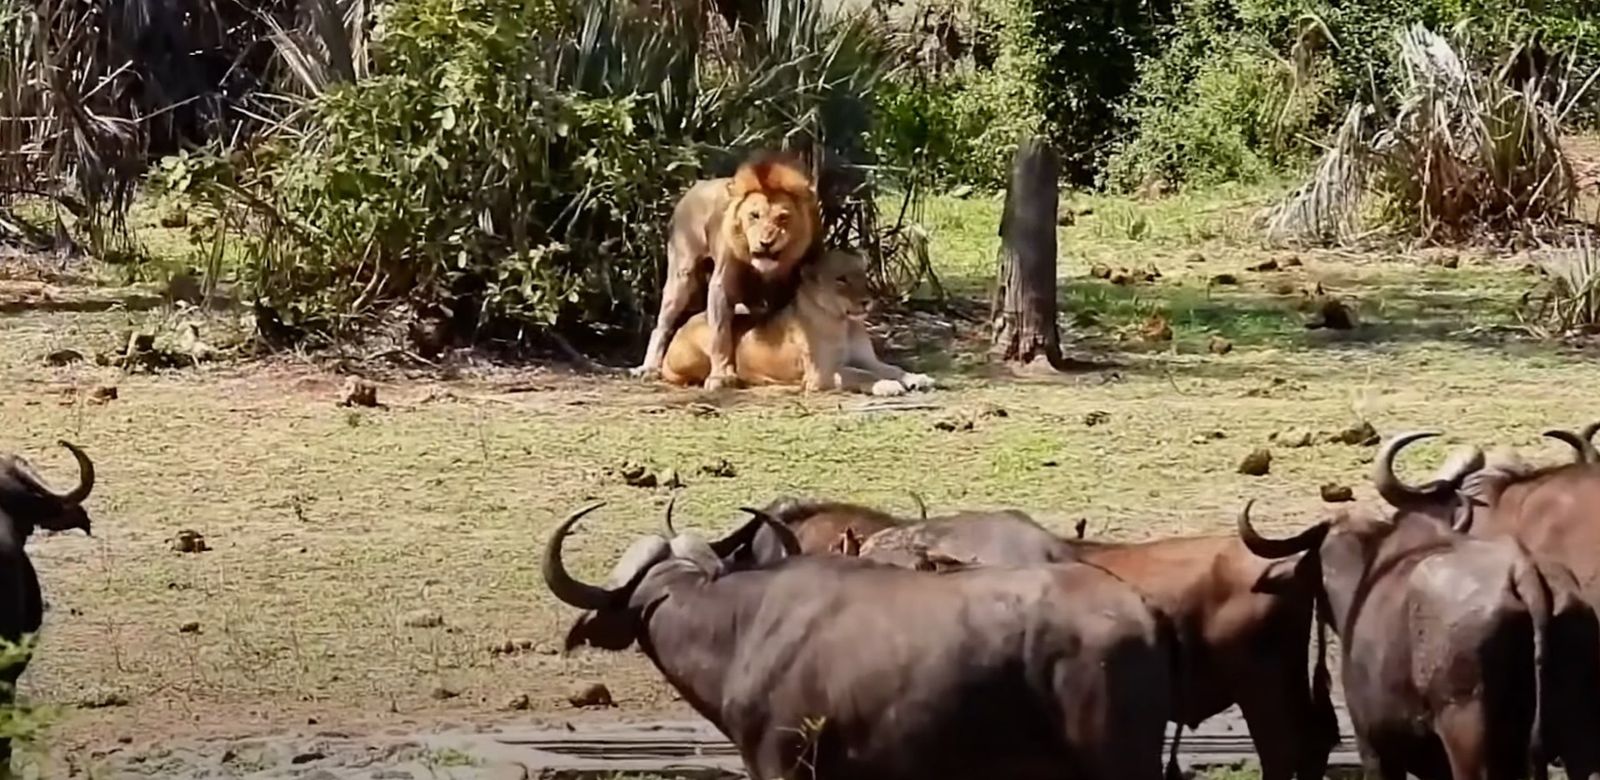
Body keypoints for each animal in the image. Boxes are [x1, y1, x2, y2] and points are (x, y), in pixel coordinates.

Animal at [627, 151, 819, 388]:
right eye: (754, 215)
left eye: (783, 217)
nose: (766, 243)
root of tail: (698, 185)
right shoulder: (722, 285)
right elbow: (720, 335)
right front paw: (720, 376)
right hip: (681, 272)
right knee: (662, 324)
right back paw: (649, 368)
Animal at [662, 250, 934, 396]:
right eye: (841, 279)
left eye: (862, 274)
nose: (867, 301)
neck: (844, 322)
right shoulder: (821, 374)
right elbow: (860, 374)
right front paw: (887, 386)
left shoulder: (868, 359)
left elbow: (892, 367)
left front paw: (917, 378)